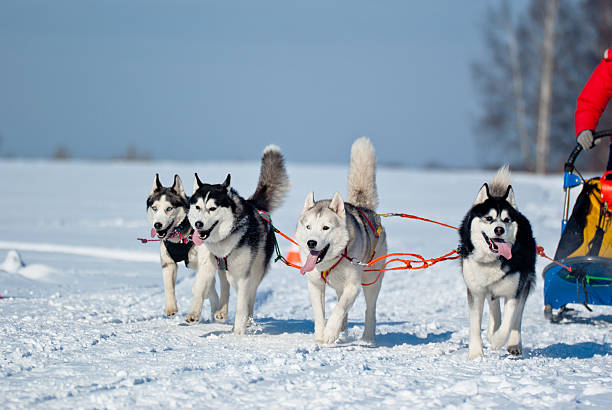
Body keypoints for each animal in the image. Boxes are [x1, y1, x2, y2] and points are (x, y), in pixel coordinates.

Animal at [146, 175, 230, 326]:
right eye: (154, 208)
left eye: (169, 208)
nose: (157, 225)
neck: (179, 237)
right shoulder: (168, 262)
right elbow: (169, 286)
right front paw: (171, 307)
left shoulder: (204, 262)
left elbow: (199, 287)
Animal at [188, 146, 290, 334]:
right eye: (197, 207)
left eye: (212, 208)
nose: (198, 224)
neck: (223, 240)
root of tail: (255, 205)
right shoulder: (207, 264)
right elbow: (200, 288)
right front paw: (193, 313)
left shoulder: (243, 275)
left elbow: (242, 305)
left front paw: (238, 333)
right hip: (224, 269)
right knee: (225, 285)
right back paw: (222, 311)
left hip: (254, 271)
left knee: (250, 296)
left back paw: (247, 320)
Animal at [294, 137, 384, 342]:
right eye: (308, 227)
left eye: (326, 228)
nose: (311, 243)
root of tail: (365, 209)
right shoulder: (315, 284)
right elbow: (320, 313)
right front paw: (321, 334)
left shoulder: (353, 285)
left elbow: (340, 308)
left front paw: (330, 332)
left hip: (372, 281)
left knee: (370, 310)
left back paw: (368, 337)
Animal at [460, 167, 536, 358]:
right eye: (489, 218)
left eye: (507, 220)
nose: (499, 229)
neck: (491, 261)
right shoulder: (476, 292)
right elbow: (475, 325)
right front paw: (476, 353)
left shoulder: (514, 292)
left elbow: (509, 321)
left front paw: (497, 341)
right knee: (494, 307)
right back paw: (492, 329)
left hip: (524, 283)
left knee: (516, 318)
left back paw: (514, 343)